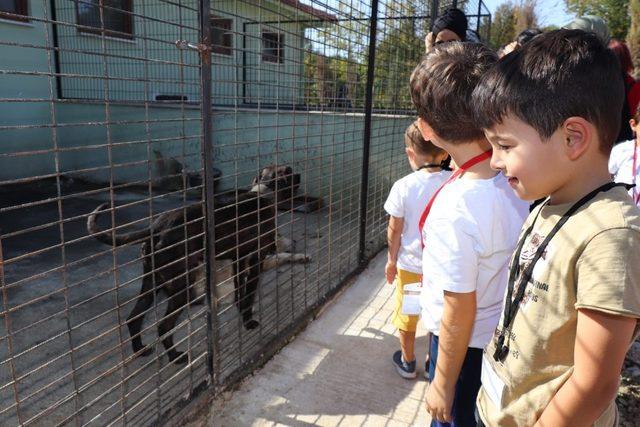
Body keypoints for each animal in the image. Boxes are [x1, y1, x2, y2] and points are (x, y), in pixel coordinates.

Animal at [87, 164, 312, 364]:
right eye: (290, 171)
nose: (301, 174)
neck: (263, 194)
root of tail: (156, 227)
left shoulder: (238, 260)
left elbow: (240, 292)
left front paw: (240, 310)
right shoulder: (256, 259)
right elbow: (248, 296)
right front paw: (248, 322)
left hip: (152, 282)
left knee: (134, 318)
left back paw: (140, 350)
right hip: (181, 286)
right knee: (163, 326)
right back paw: (175, 357)